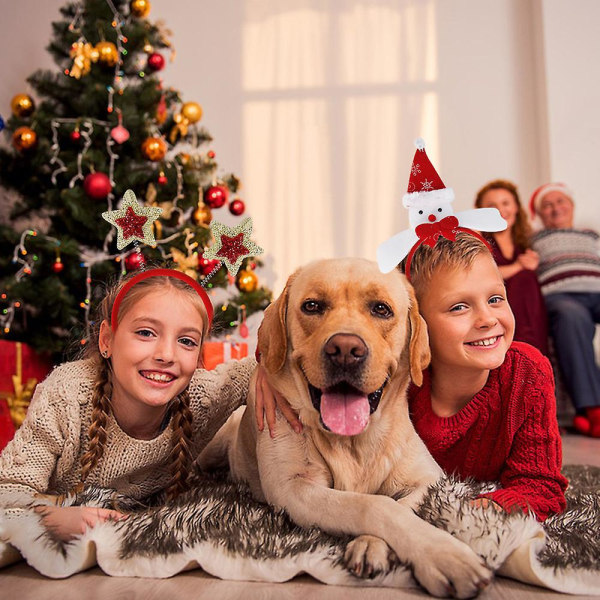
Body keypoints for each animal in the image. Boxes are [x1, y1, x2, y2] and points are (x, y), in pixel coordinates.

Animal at [199, 258, 490, 600]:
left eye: (381, 309)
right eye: (312, 306)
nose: (345, 349)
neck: (353, 443)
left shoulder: (429, 479)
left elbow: (401, 505)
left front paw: (373, 546)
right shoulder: (294, 488)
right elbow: (374, 505)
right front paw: (445, 554)